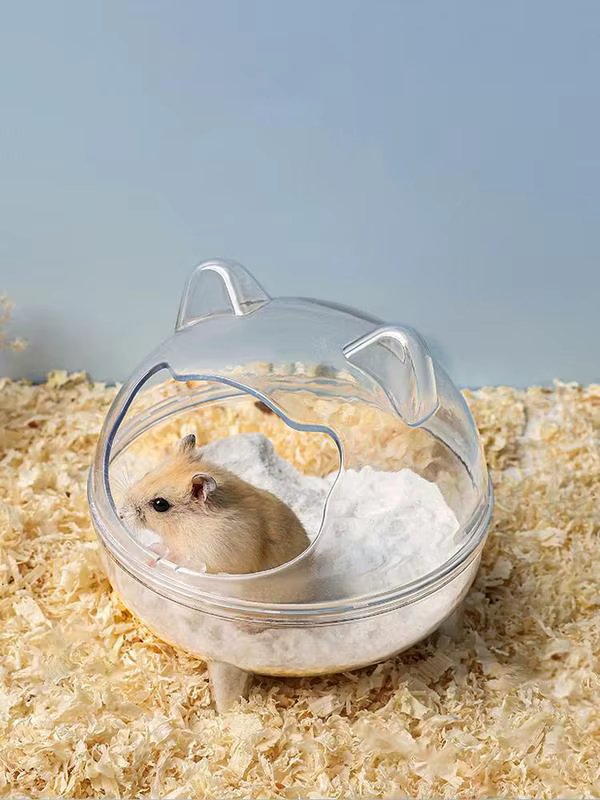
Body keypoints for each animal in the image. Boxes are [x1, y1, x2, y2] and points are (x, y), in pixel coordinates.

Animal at [119, 433, 310, 574]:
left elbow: (177, 558)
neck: (185, 524)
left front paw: (152, 561)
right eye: (147, 473)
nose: (120, 514)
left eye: (160, 504)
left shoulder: (210, 555)